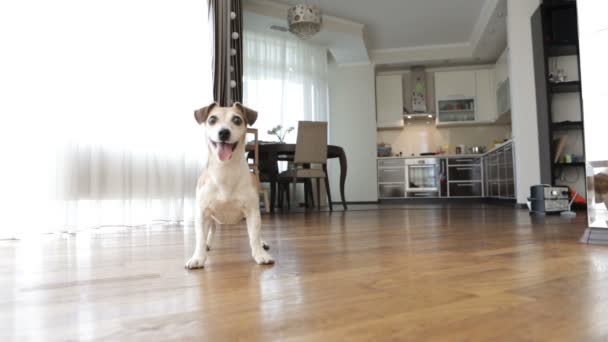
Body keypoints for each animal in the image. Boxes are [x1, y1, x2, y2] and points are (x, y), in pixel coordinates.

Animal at [183, 101, 274, 270]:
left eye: (237, 120)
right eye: (212, 119)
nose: (224, 132)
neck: (225, 169)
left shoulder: (252, 211)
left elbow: (254, 235)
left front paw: (260, 254)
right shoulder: (203, 213)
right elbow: (200, 238)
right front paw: (198, 257)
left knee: (257, 233)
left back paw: (262, 242)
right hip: (211, 218)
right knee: (210, 231)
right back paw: (207, 244)